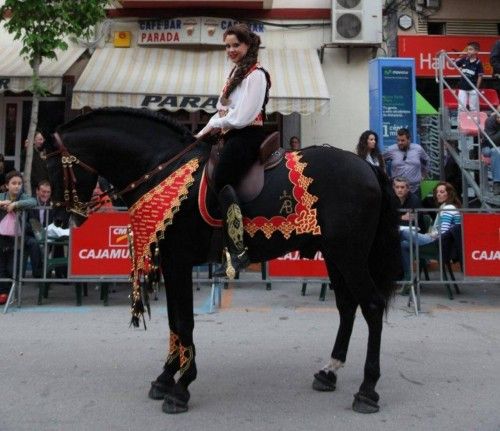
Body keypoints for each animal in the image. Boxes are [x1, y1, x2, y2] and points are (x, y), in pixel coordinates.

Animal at [45, 107, 400, 416]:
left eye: (53, 168)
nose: (61, 216)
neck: (163, 169)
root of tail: (368, 167)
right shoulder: (172, 264)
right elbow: (174, 321)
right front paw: (166, 377)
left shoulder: (178, 261)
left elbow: (184, 322)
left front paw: (181, 387)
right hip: (335, 254)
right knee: (347, 306)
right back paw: (329, 371)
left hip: (350, 253)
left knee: (371, 305)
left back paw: (367, 390)